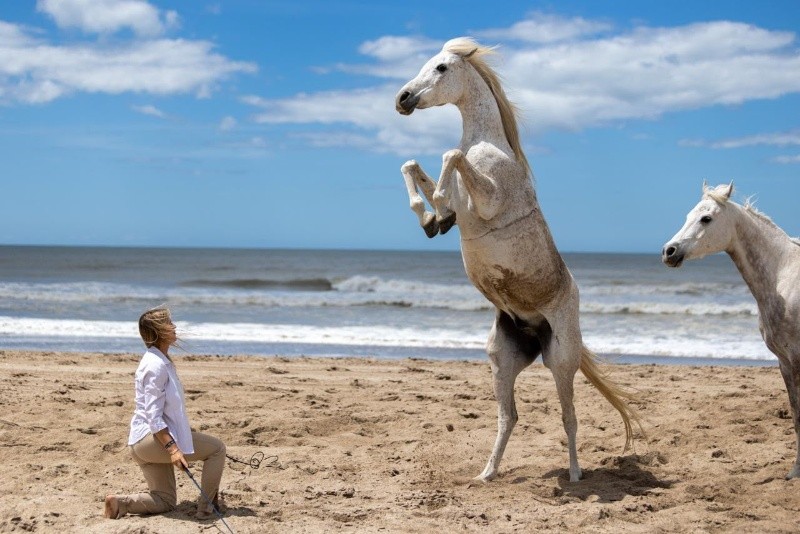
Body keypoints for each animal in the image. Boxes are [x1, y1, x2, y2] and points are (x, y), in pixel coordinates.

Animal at [395, 37, 639, 483]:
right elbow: (414, 165)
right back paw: (486, 474)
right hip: (502, 360)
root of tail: (536, 329)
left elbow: (450, 156)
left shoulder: (487, 199)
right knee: (509, 416)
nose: (402, 99)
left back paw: (575, 475)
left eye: (440, 68)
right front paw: (433, 219)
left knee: (569, 416)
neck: (485, 144)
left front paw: (437, 208)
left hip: (560, 361)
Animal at [662, 182, 800, 479]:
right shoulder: (784, 362)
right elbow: (796, 415)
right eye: (688, 216)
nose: (669, 251)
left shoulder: (796, 360)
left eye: (706, 218)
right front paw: (795, 470)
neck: (783, 277)